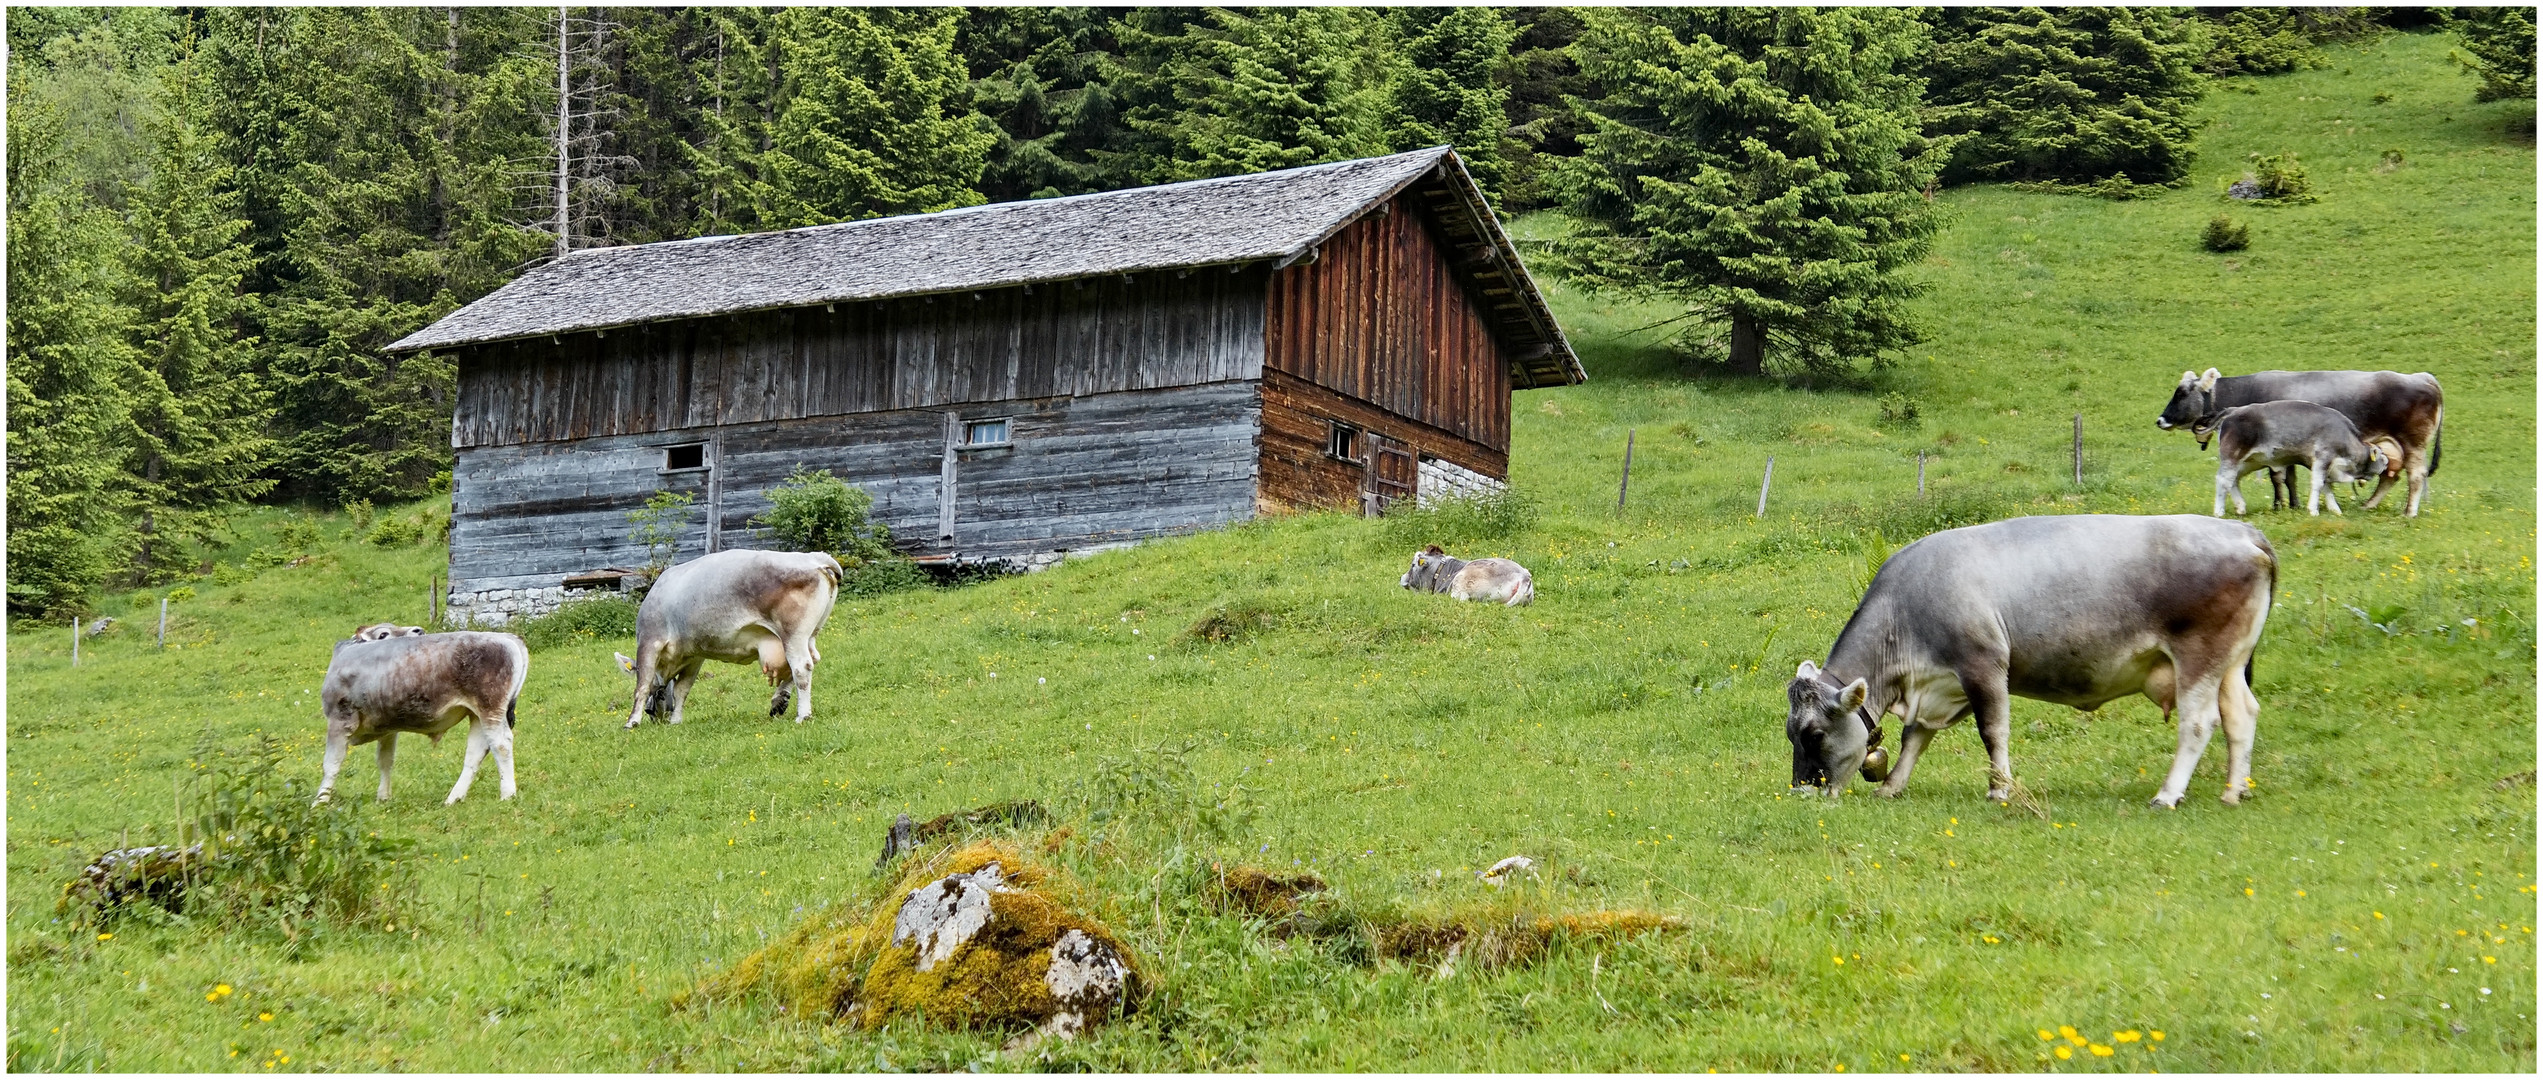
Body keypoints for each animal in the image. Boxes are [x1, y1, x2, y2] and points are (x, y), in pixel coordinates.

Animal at [317, 622, 526, 797]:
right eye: (383, 633)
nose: (418, 630)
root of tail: (505, 636)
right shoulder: (387, 727)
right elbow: (385, 761)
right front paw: (383, 798)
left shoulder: (339, 719)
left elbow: (331, 764)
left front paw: (320, 802)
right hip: (477, 713)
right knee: (476, 751)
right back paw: (454, 799)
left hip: (490, 708)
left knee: (501, 745)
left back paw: (507, 795)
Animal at [615, 551, 844, 726]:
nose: (653, 715)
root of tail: (813, 557)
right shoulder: (694, 656)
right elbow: (682, 690)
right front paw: (676, 721)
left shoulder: (649, 641)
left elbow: (642, 685)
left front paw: (632, 722)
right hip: (810, 634)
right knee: (809, 661)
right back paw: (779, 701)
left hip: (793, 634)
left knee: (801, 668)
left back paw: (802, 715)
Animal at [1780, 515, 2278, 808]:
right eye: (1790, 732)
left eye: (1815, 734)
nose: (1802, 789)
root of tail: (2243, 532)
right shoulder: (1941, 685)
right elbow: (1914, 739)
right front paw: (1892, 786)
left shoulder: (1982, 666)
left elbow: (1992, 732)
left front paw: (1999, 788)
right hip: (2230, 666)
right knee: (2242, 716)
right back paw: (2233, 791)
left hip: (2199, 657)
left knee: (2198, 723)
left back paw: (2168, 794)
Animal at [2207, 398, 2380, 518]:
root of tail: (2232, 410)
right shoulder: (2323, 457)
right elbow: (2318, 484)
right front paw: (2313, 510)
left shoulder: (2318, 464)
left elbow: (2326, 486)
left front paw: (2335, 510)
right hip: (2232, 457)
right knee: (2223, 480)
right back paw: (2219, 512)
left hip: (2249, 462)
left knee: (2234, 480)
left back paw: (2241, 507)